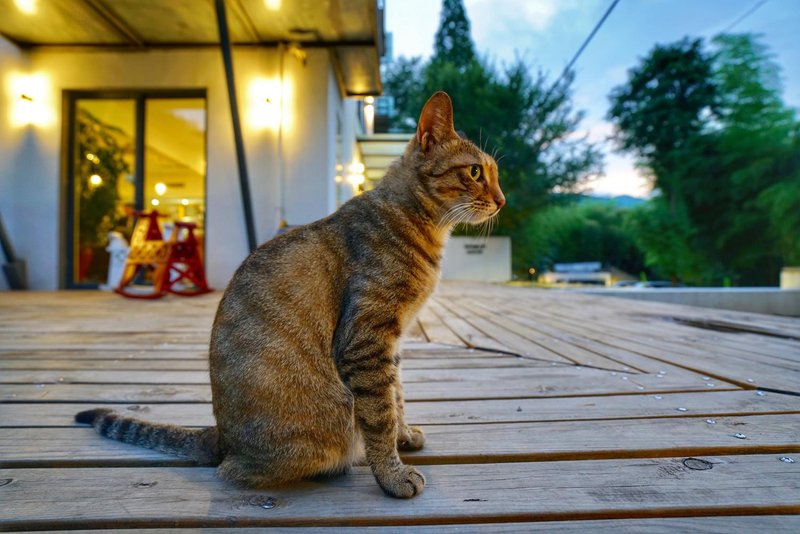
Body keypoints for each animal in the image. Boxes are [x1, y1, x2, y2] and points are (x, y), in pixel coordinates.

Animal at [73, 91, 500, 498]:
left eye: (494, 175)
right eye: (475, 171)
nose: (502, 200)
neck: (422, 224)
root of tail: (221, 438)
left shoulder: (389, 344)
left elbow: (396, 395)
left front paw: (404, 436)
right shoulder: (367, 338)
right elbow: (381, 413)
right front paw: (392, 475)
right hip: (327, 417)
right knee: (238, 470)